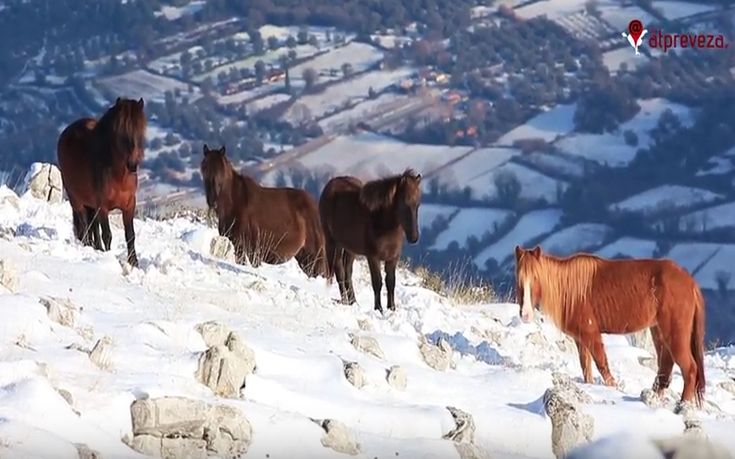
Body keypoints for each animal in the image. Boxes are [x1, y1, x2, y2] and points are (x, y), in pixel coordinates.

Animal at [56, 98, 147, 268]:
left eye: (140, 132)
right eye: (121, 133)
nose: (132, 165)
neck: (119, 176)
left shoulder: (129, 205)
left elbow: (130, 235)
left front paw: (134, 263)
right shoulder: (102, 206)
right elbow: (107, 235)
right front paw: (108, 257)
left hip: (90, 203)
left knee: (92, 225)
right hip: (76, 199)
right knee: (86, 225)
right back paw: (89, 246)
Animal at [201, 146, 328, 278]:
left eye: (221, 172)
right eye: (204, 170)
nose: (212, 201)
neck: (235, 202)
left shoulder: (252, 248)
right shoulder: (238, 245)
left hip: (315, 255)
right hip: (304, 257)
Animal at [320, 171, 422, 314]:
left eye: (417, 205)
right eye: (404, 203)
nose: (414, 237)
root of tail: (330, 185)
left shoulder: (393, 258)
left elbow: (391, 282)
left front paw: (391, 308)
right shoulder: (373, 257)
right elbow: (377, 282)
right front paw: (378, 308)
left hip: (350, 248)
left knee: (347, 271)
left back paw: (353, 301)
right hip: (333, 241)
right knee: (338, 268)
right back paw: (344, 300)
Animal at [512, 246, 708, 412]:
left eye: (535, 278)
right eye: (519, 279)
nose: (525, 314)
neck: (571, 290)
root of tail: (690, 282)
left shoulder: (591, 334)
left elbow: (602, 365)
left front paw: (612, 388)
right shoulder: (580, 339)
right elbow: (586, 368)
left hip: (675, 334)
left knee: (689, 369)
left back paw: (683, 406)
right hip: (659, 331)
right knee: (665, 369)